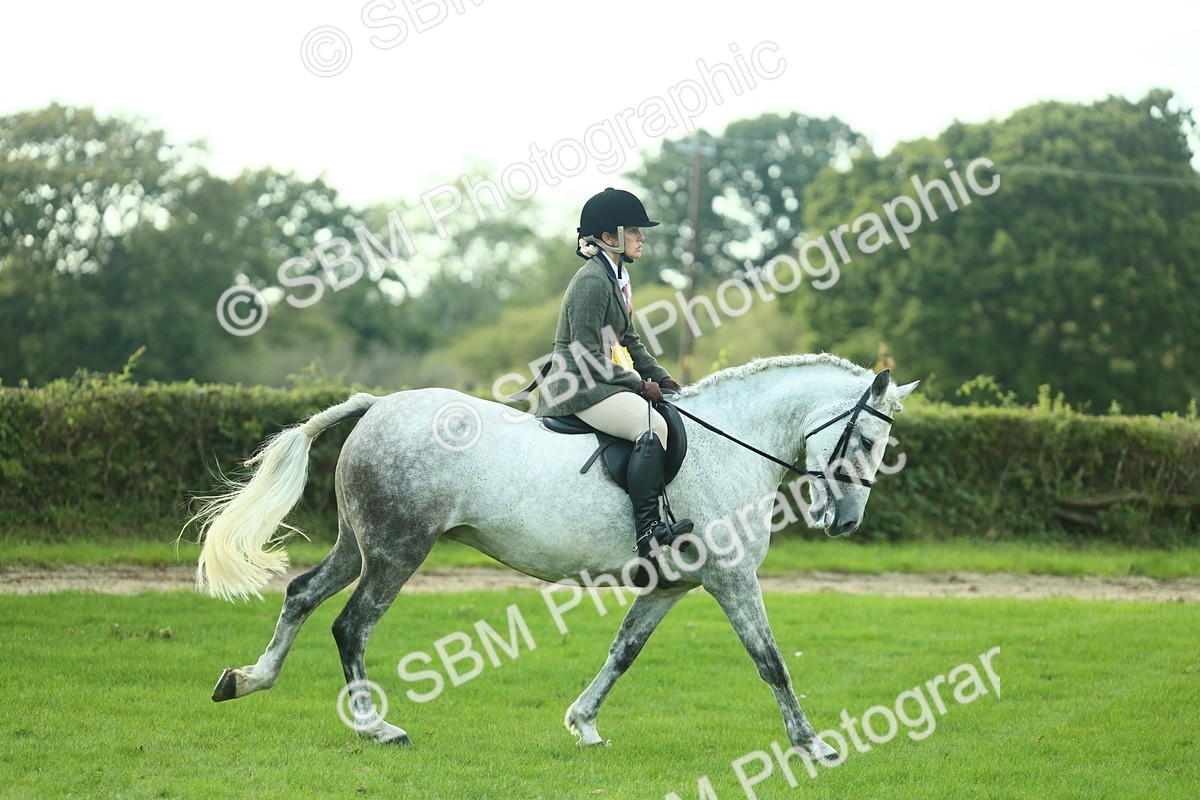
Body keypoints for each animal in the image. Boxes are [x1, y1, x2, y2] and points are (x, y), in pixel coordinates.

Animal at [192, 352, 917, 765]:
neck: (730, 445)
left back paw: (247, 679)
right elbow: (770, 661)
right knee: (351, 625)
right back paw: (378, 728)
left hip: (359, 546)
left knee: (301, 595)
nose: (846, 523)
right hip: (398, 551)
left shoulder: (670, 584)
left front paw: (584, 724)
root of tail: (377, 407)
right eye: (868, 438)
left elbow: (624, 651)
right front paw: (813, 745)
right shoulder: (732, 578)